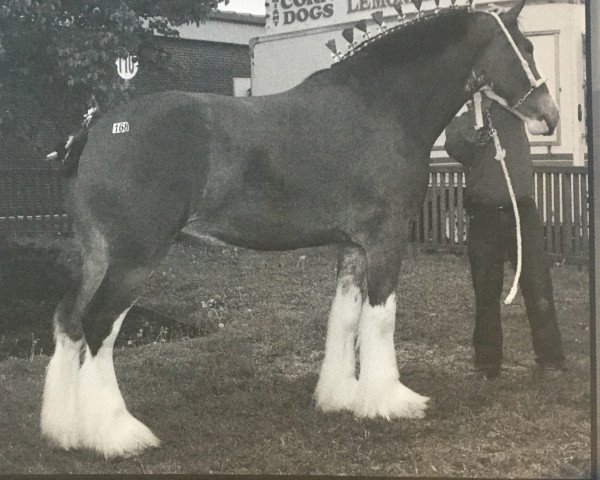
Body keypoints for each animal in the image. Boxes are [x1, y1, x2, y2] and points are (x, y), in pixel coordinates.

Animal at [41, 0, 556, 458]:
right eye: (527, 46)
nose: (550, 116)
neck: (382, 106)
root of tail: (97, 129)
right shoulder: (386, 239)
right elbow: (381, 317)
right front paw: (391, 400)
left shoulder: (352, 247)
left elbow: (345, 317)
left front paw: (342, 395)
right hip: (136, 257)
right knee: (98, 324)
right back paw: (118, 435)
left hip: (96, 254)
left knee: (69, 319)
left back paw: (65, 430)